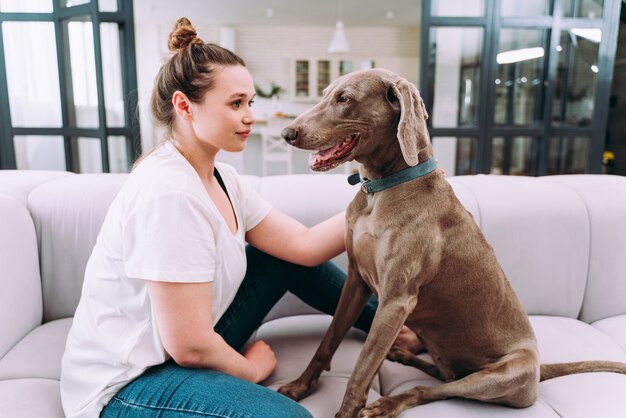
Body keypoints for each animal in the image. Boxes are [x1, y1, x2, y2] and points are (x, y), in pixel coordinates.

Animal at [276, 68, 624, 418]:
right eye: (324, 94)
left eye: (345, 99)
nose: (286, 133)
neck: (381, 190)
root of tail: (540, 370)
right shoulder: (356, 281)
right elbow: (329, 340)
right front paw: (299, 386)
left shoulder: (396, 300)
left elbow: (361, 368)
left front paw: (346, 411)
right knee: (443, 376)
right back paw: (403, 356)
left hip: (505, 374)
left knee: (431, 389)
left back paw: (388, 402)